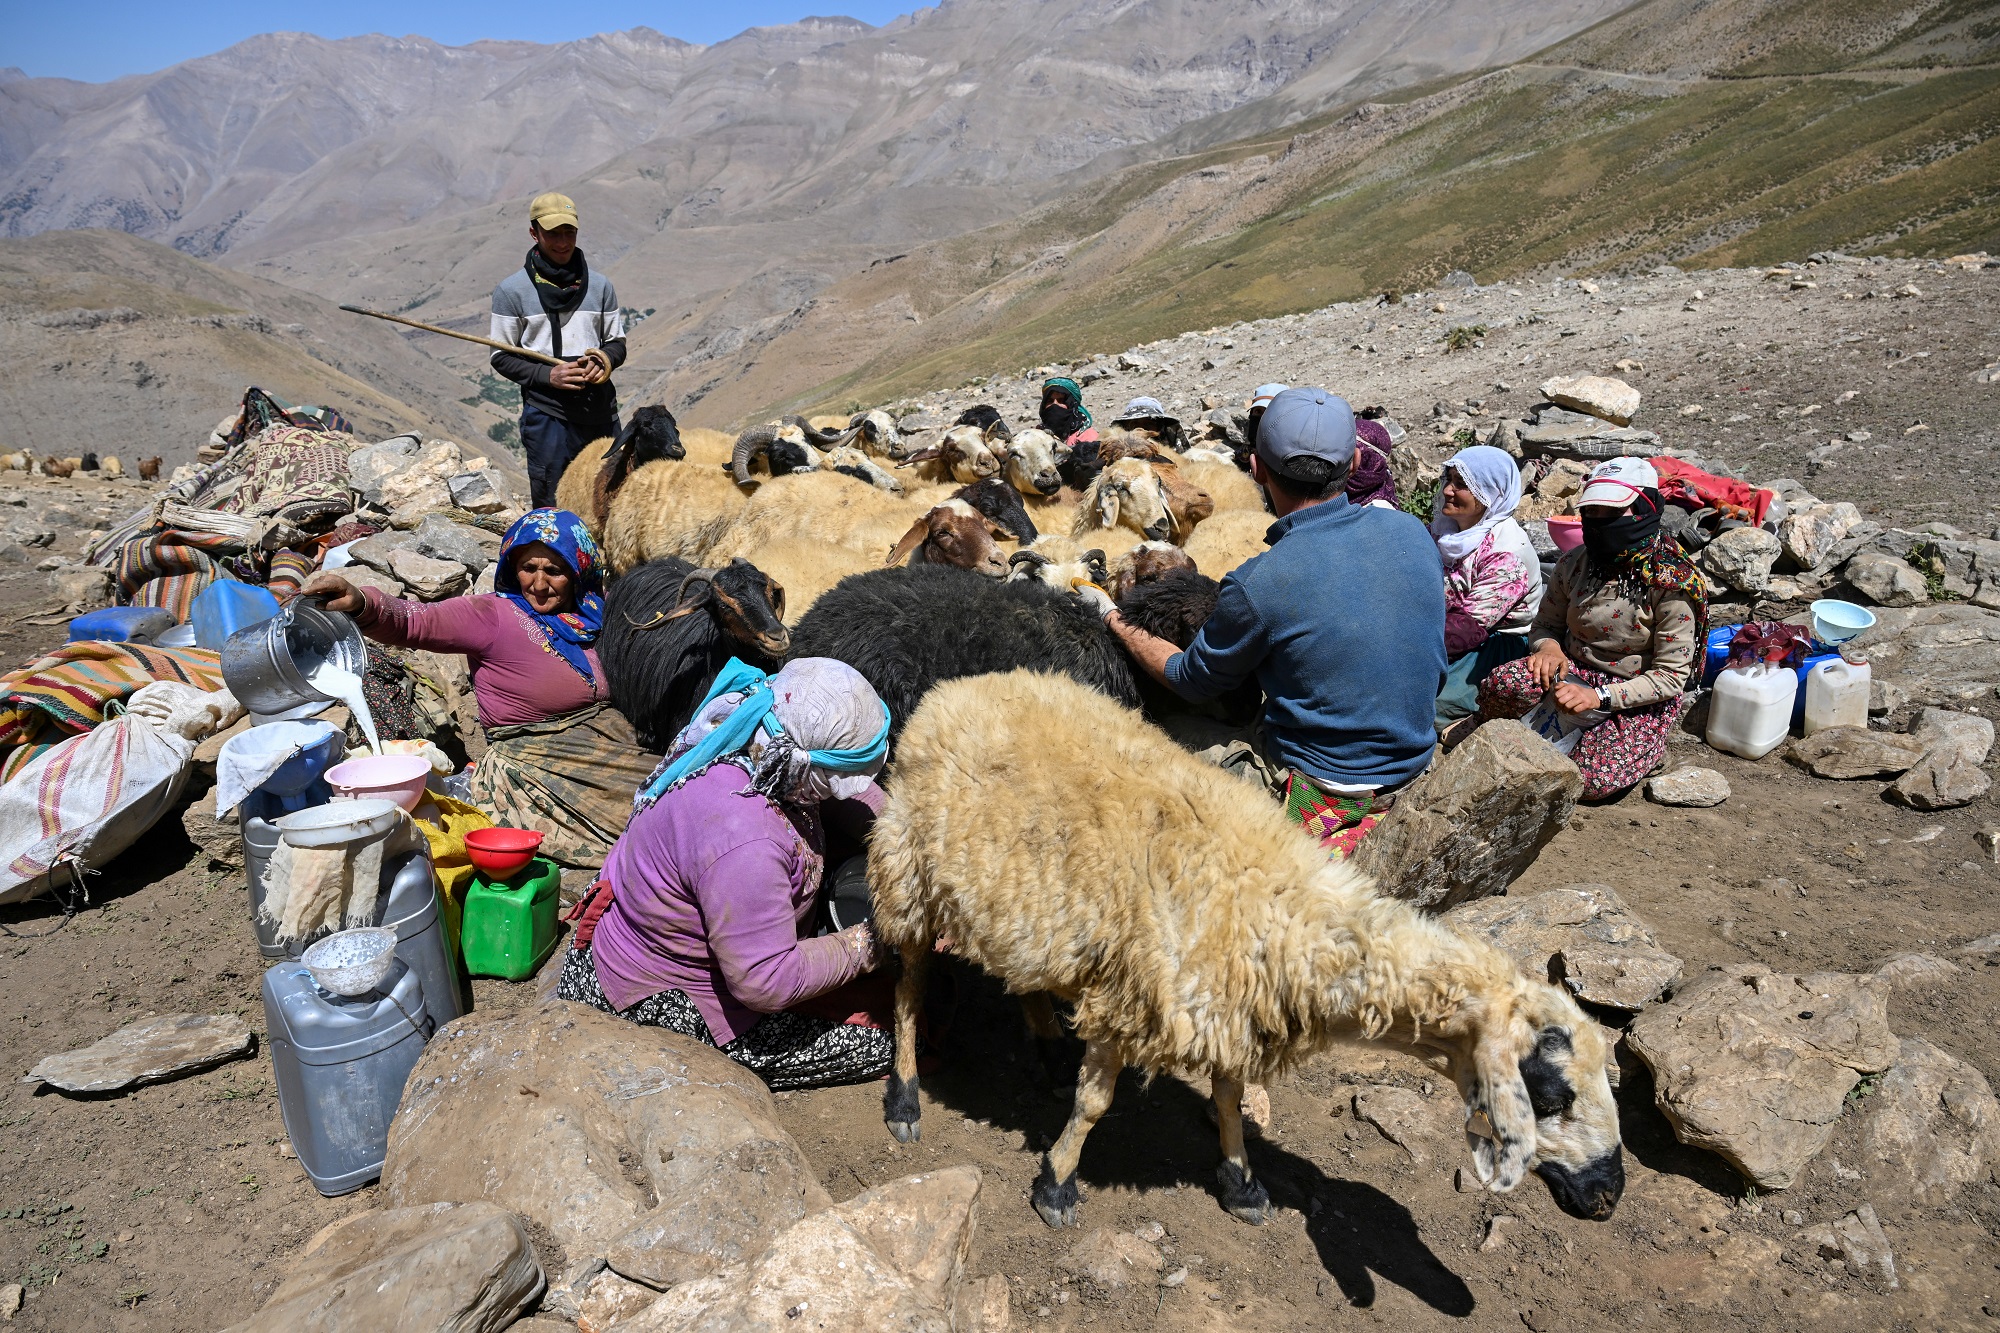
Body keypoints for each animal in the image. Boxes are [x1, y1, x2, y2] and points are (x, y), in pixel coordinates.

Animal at [872, 668, 1624, 1232]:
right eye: (1550, 1092)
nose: (1609, 1195)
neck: (1285, 908)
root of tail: (961, 686)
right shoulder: (1132, 998)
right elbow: (1095, 1105)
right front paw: (1057, 1184)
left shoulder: (1233, 1009)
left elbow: (1231, 1100)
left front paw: (1240, 1182)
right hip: (908, 870)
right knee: (909, 985)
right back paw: (906, 1099)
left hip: (1022, 906)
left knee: (1022, 973)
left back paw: (1048, 1049)